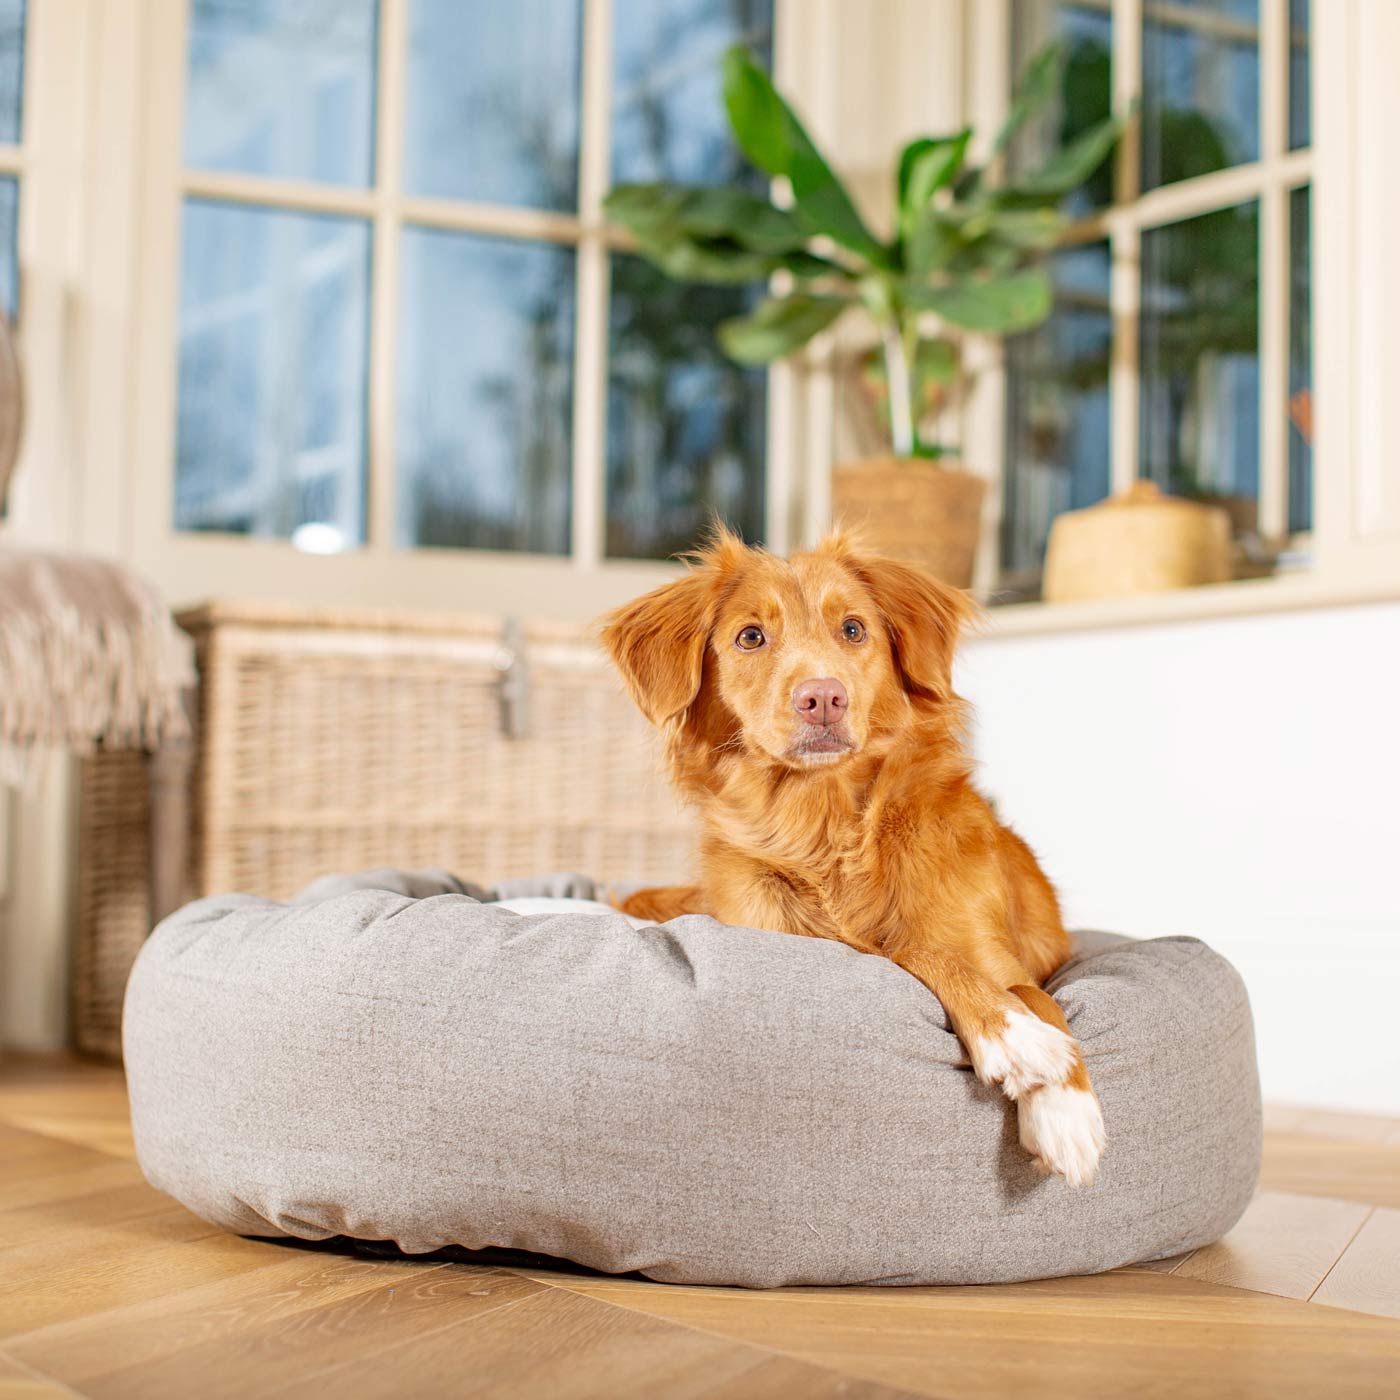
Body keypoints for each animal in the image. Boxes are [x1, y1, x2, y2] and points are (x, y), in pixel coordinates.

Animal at [599, 529, 1103, 1187]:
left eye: (854, 629)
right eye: (750, 637)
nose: (822, 697)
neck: (826, 827)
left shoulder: (1001, 960)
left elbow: (1033, 996)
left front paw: (1064, 1107)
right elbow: (910, 951)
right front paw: (1018, 1041)